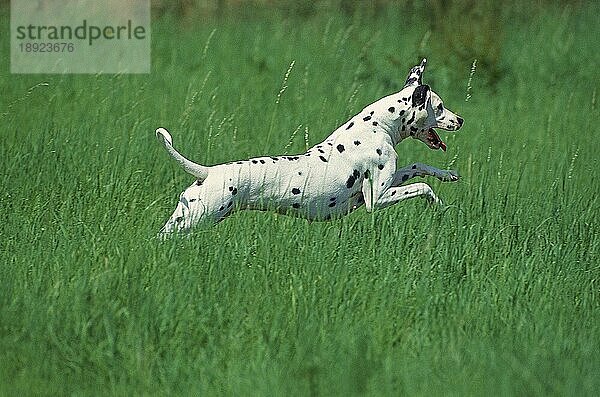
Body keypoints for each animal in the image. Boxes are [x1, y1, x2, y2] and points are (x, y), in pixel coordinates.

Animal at [156, 56, 464, 235]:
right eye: (439, 106)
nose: (460, 120)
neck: (377, 124)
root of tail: (208, 172)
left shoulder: (391, 181)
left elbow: (418, 167)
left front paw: (447, 175)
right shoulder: (376, 198)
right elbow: (422, 187)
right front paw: (437, 203)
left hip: (184, 219)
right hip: (196, 218)